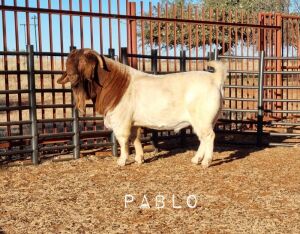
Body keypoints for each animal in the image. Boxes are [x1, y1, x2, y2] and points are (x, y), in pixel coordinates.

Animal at [56, 48, 227, 167]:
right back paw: (196, 159)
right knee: (203, 138)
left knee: (209, 137)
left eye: (84, 62)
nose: (72, 77)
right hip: (206, 121)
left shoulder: (121, 121)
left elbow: (123, 140)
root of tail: (214, 78)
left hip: (202, 119)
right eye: (68, 63)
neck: (117, 85)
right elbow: (135, 138)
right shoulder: (133, 123)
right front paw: (139, 159)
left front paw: (122, 161)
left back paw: (205, 162)